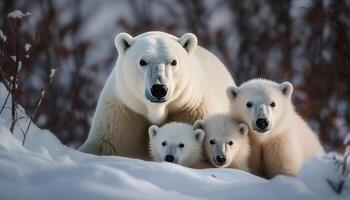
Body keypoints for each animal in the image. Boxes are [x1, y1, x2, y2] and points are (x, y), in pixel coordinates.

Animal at [78, 31, 234, 159]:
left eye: (174, 61)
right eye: (142, 61)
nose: (159, 88)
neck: (156, 111)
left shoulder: (191, 110)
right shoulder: (122, 114)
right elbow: (103, 145)